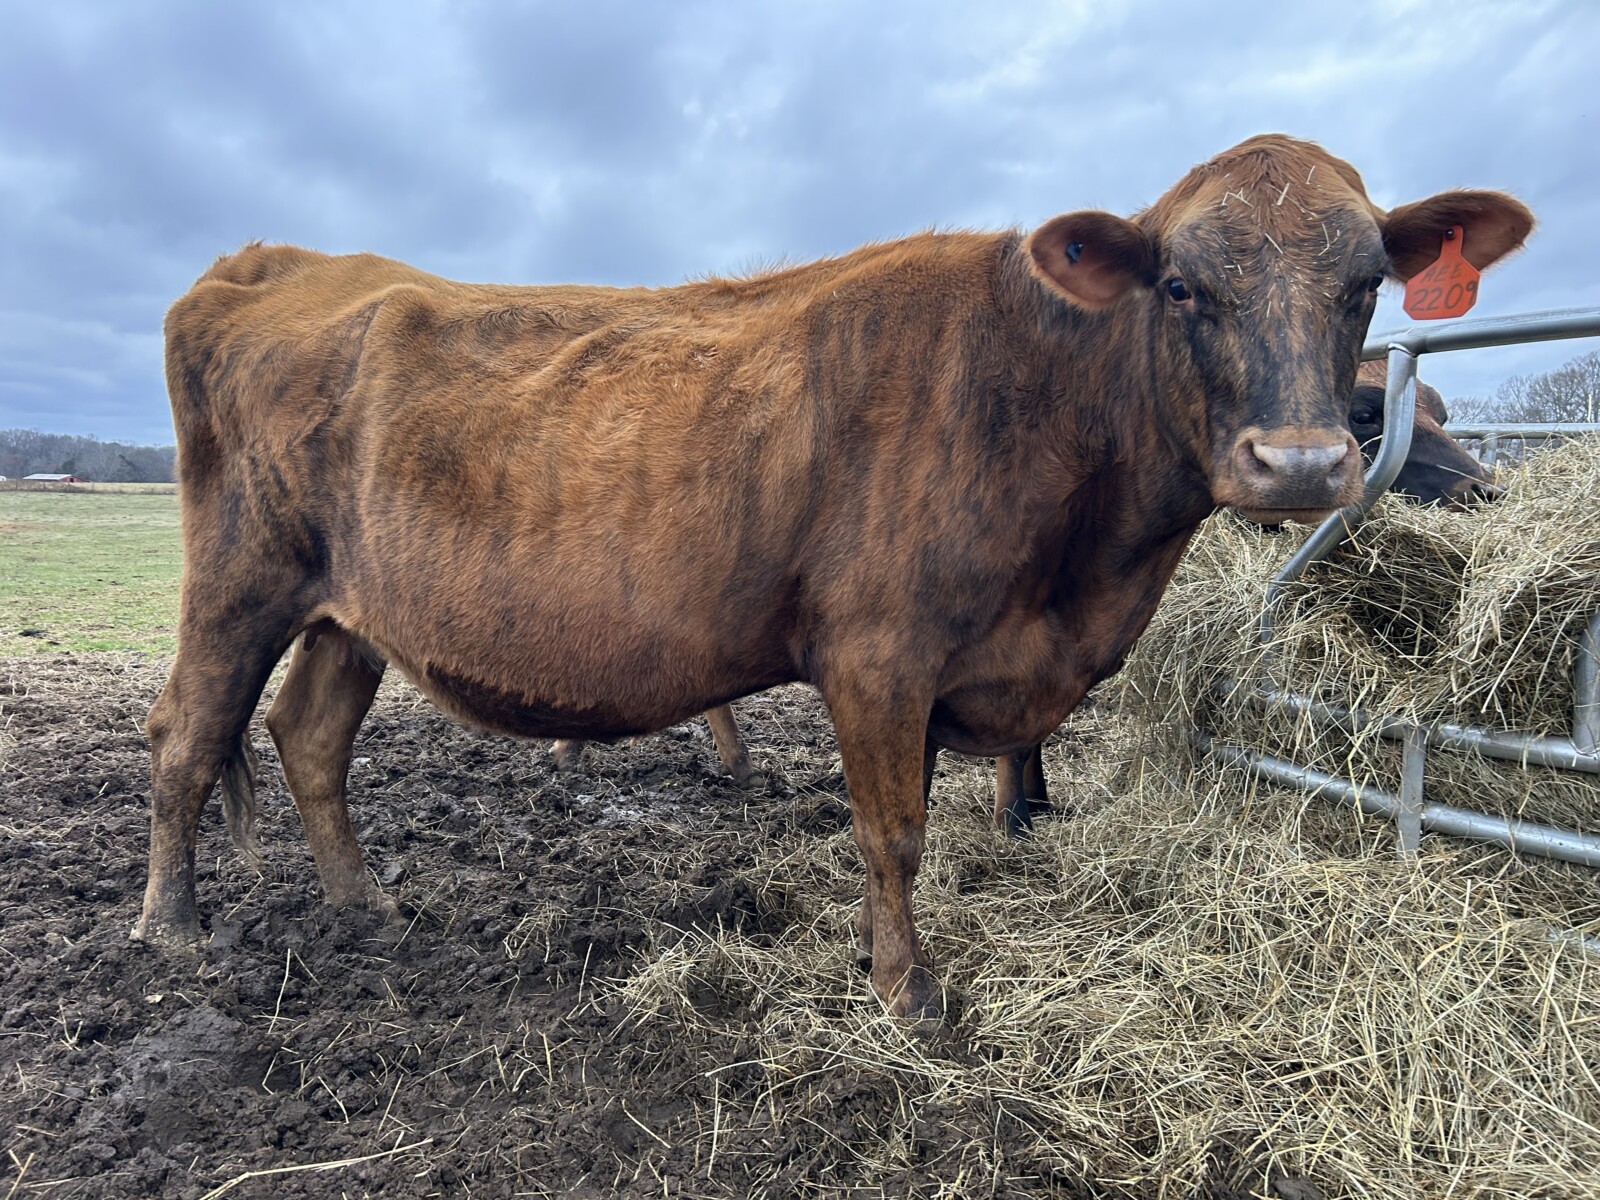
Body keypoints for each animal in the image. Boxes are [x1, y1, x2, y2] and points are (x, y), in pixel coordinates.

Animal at [137, 135, 1532, 1021]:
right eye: (1182, 284)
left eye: (1365, 286)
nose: (1299, 464)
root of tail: (278, 261)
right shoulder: (876, 654)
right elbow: (892, 831)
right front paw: (909, 993)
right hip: (240, 577)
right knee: (187, 734)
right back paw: (173, 930)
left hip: (348, 613)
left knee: (308, 737)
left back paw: (366, 905)